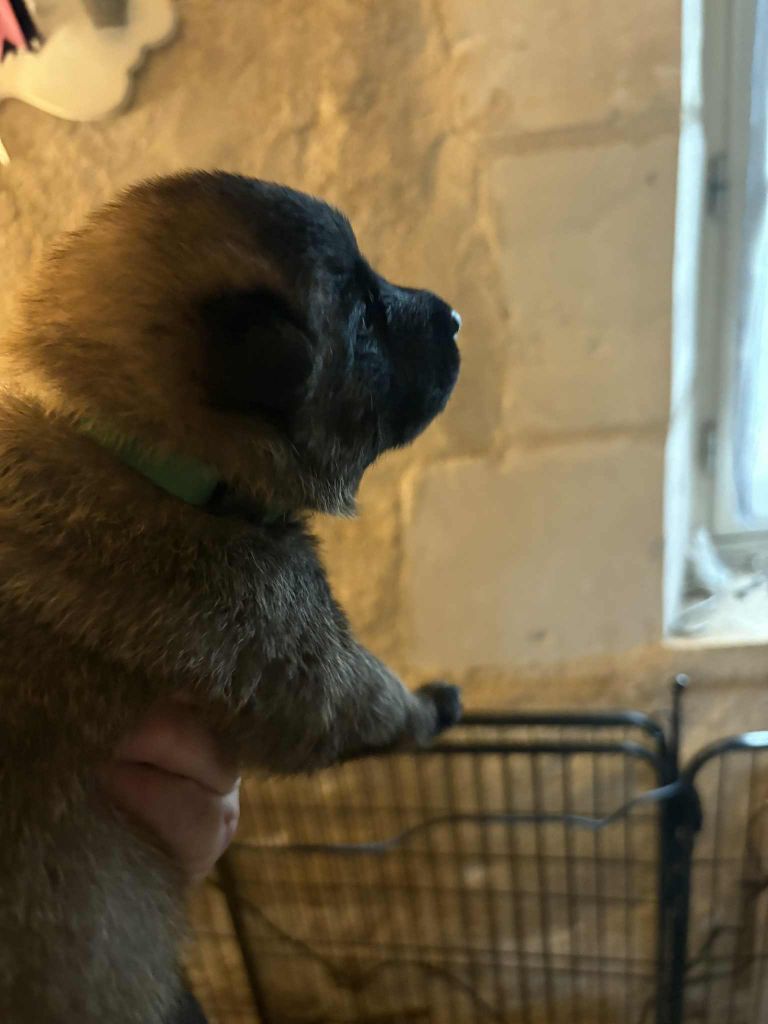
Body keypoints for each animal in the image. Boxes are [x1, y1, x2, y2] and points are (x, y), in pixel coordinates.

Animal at [0, 171, 462, 1022]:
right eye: (362, 317)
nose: (454, 317)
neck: (142, 454)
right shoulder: (294, 651)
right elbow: (376, 703)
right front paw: (434, 705)